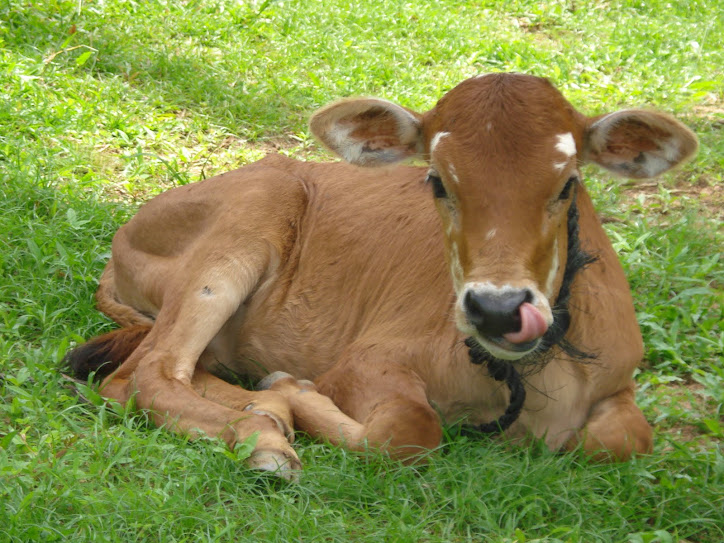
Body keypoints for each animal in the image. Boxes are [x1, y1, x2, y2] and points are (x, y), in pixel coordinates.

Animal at [65, 73, 697, 480]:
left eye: (567, 183)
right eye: (437, 180)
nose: (498, 309)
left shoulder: (619, 382)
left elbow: (622, 440)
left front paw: (280, 395)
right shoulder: (367, 361)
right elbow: (410, 431)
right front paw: (295, 392)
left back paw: (261, 409)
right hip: (241, 231)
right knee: (144, 374)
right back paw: (263, 436)